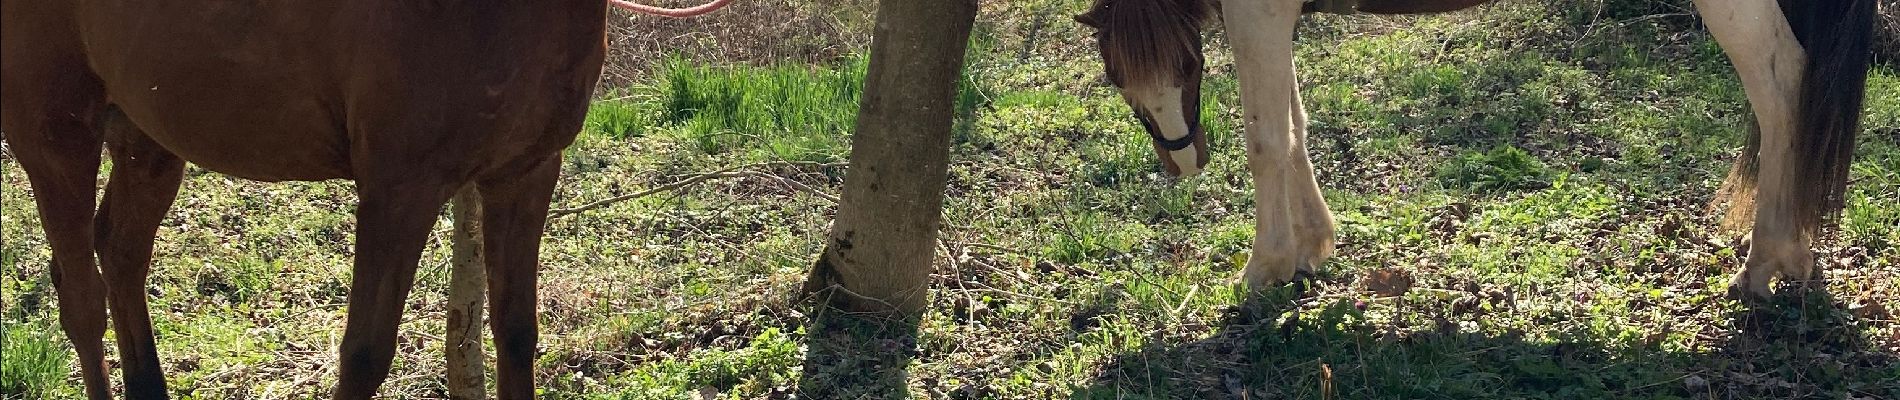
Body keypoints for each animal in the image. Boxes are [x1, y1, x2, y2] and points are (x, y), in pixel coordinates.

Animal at [0, 0, 722, 400]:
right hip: (53, 132)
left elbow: (518, 334)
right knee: (82, 301)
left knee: (120, 255)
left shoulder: (525, 175)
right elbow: (365, 355)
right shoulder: (399, 191)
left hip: (149, 137)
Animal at [1079, 0, 1877, 297]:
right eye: (1117, 75)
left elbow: (1268, 138)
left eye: (1187, 64)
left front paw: (1265, 267)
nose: (1181, 161)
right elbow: (1297, 126)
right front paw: (1311, 247)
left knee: (1782, 88)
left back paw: (1767, 260)